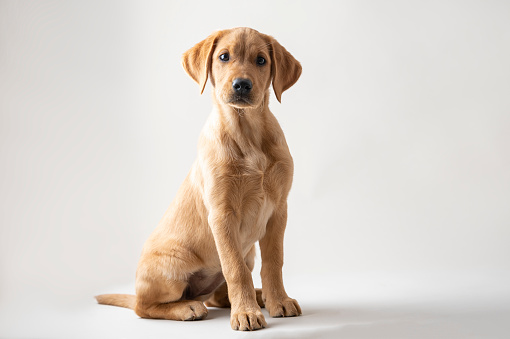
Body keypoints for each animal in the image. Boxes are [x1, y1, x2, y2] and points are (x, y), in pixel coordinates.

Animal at [95, 27, 300, 332]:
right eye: (224, 57)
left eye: (261, 60)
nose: (241, 85)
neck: (248, 134)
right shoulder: (222, 214)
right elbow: (235, 269)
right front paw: (246, 313)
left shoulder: (279, 210)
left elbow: (274, 262)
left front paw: (278, 301)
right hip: (172, 269)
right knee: (144, 307)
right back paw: (188, 307)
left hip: (248, 252)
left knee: (218, 295)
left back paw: (257, 296)